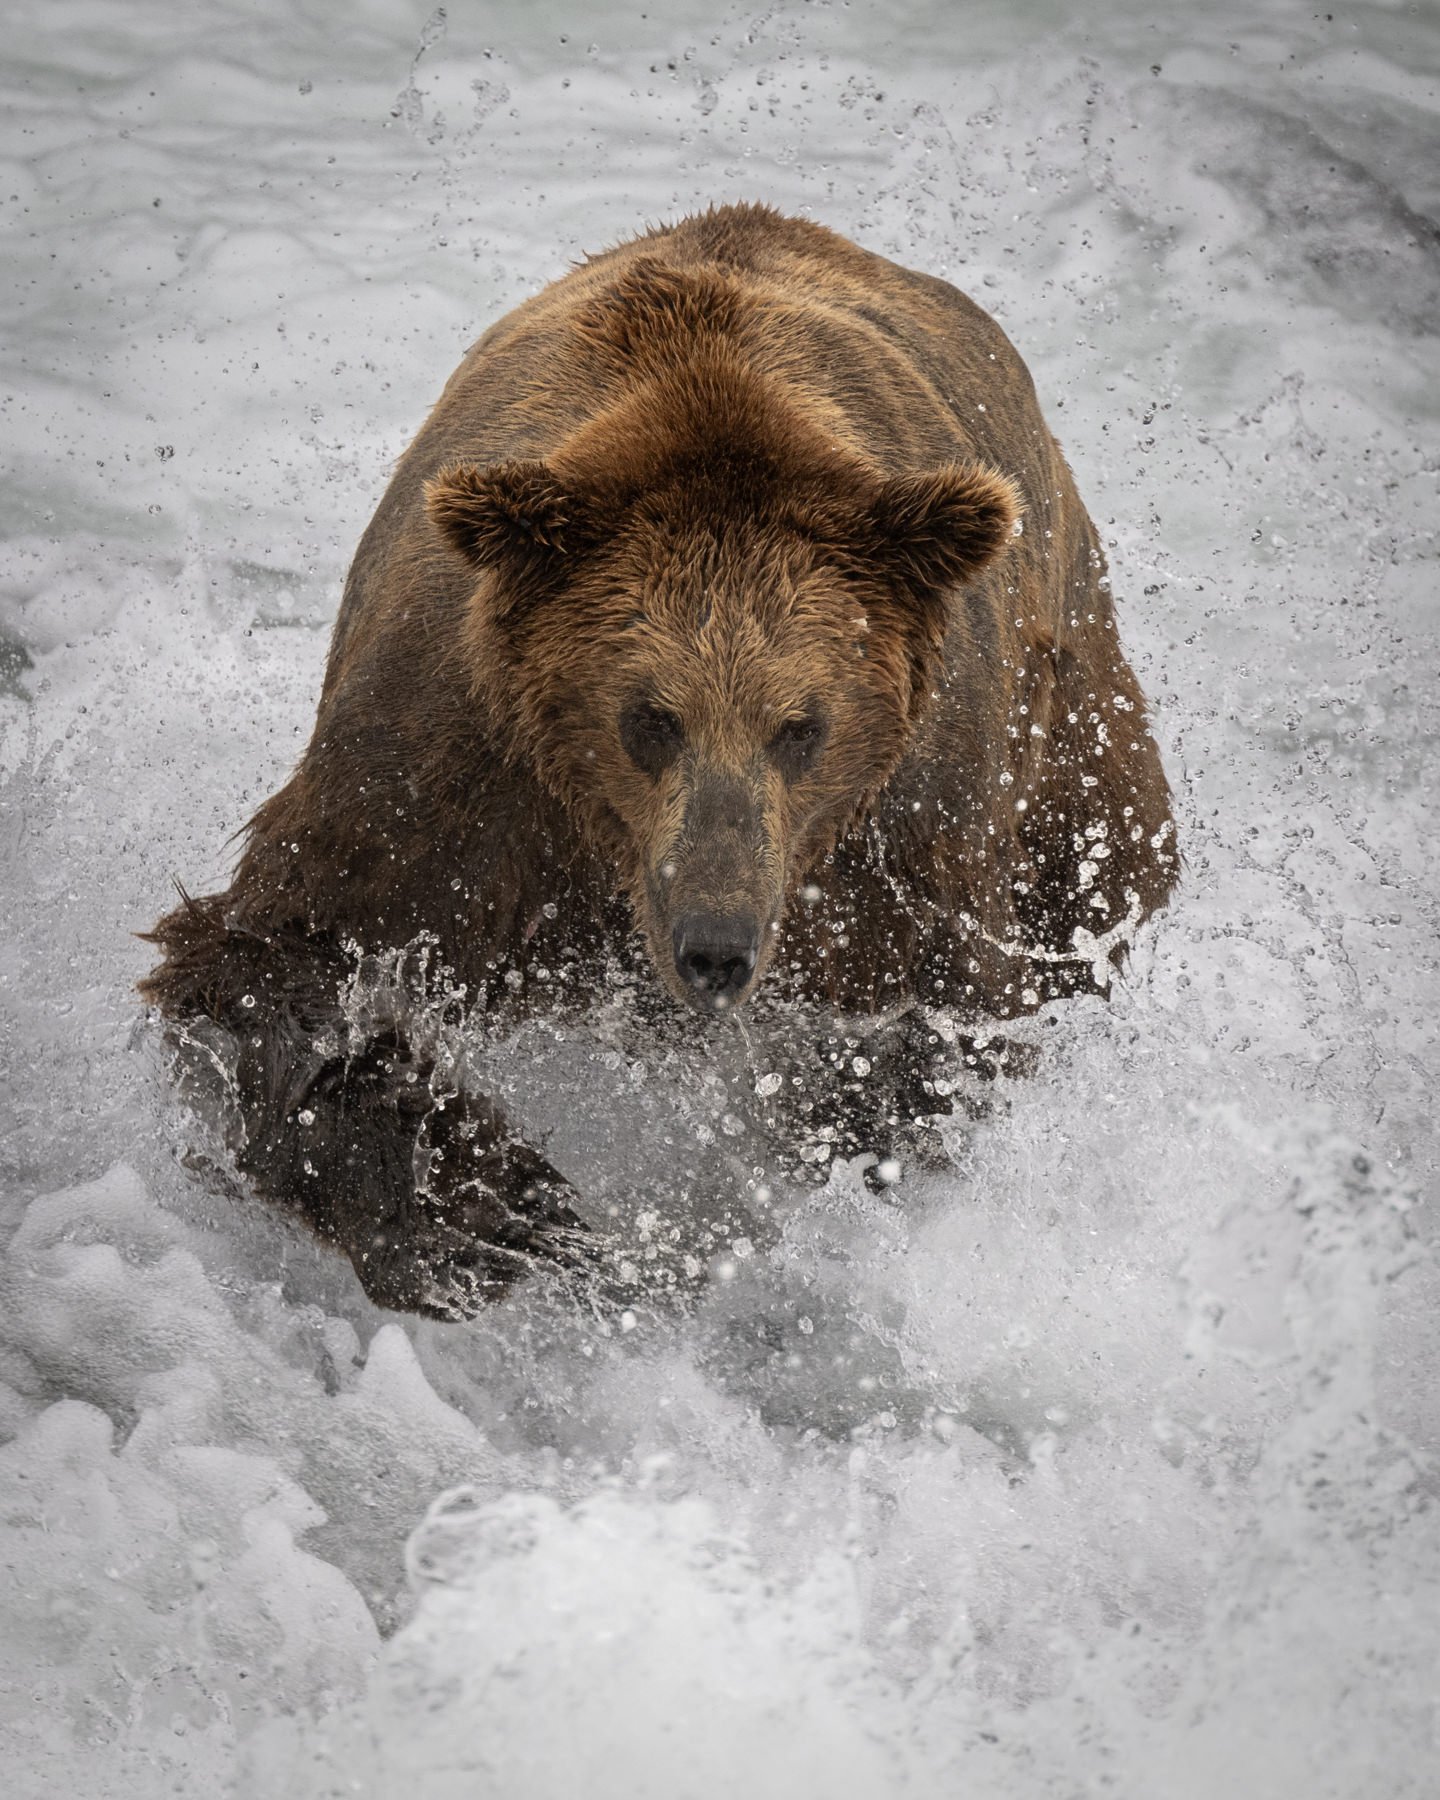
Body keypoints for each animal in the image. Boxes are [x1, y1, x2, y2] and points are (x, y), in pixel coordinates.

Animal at [143, 204, 1180, 1317]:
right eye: (650, 718)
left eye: (800, 725)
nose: (716, 946)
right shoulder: (450, 770)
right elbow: (276, 958)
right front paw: (500, 1211)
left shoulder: (903, 825)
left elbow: (931, 1027)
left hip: (1071, 724)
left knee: (1096, 880)